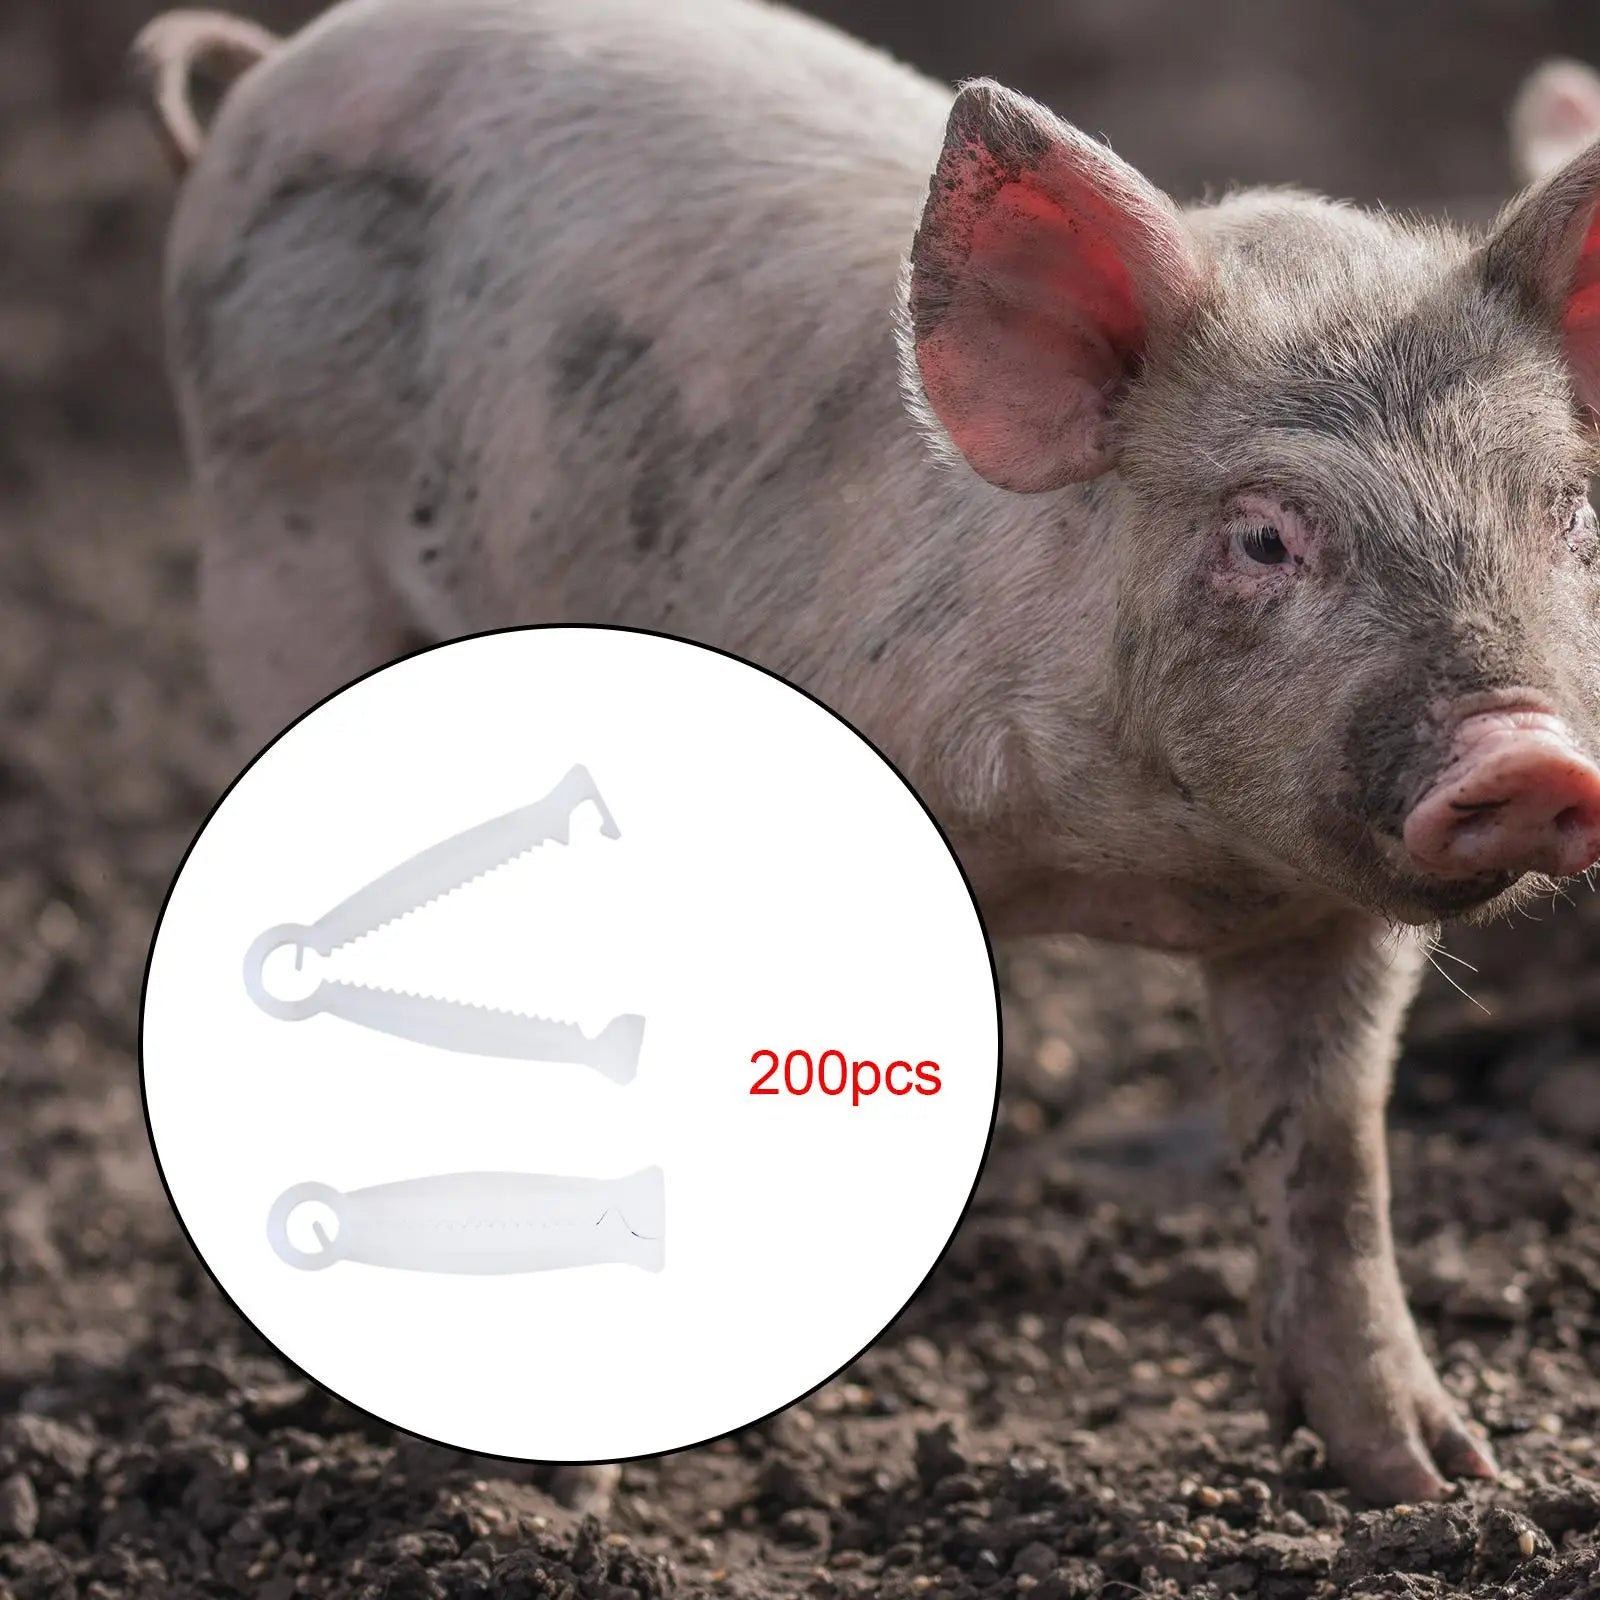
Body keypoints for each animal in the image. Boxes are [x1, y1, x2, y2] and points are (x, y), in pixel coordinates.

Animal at [132, 0, 1600, 1504]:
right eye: (1263, 535)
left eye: (1568, 512)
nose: (1528, 758)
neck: (1141, 866)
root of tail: (273, 71)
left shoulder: (1324, 922)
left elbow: (1336, 1165)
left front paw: (1437, 1479)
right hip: (270, 556)